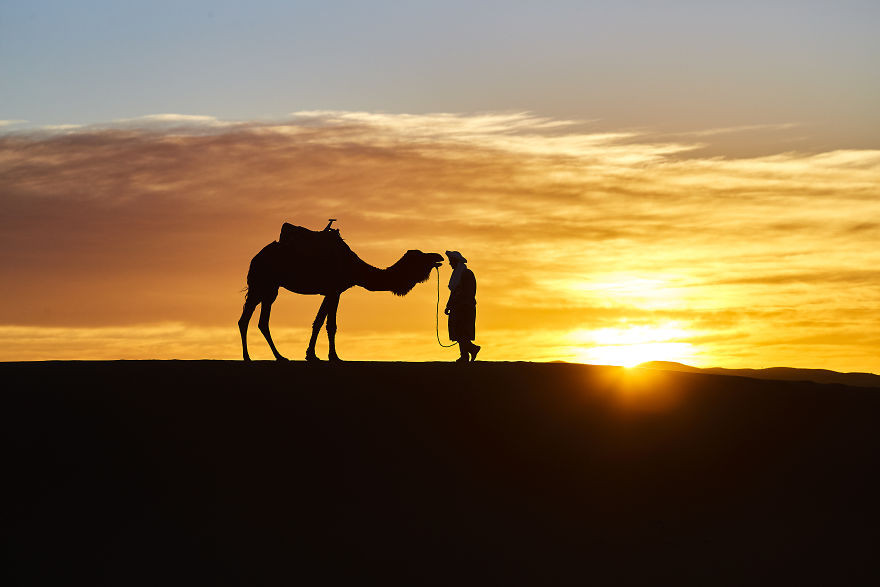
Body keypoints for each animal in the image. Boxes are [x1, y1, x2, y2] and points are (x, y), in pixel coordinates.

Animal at [237, 222, 444, 362]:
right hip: (263, 284)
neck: (354, 268)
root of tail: (255, 258)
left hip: (269, 287)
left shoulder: (330, 292)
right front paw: (333, 356)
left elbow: (319, 322)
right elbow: (330, 325)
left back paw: (273, 356)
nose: (438, 256)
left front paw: (312, 355)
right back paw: (255, 357)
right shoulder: (335, 290)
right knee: (250, 319)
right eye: (421, 257)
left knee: (255, 320)